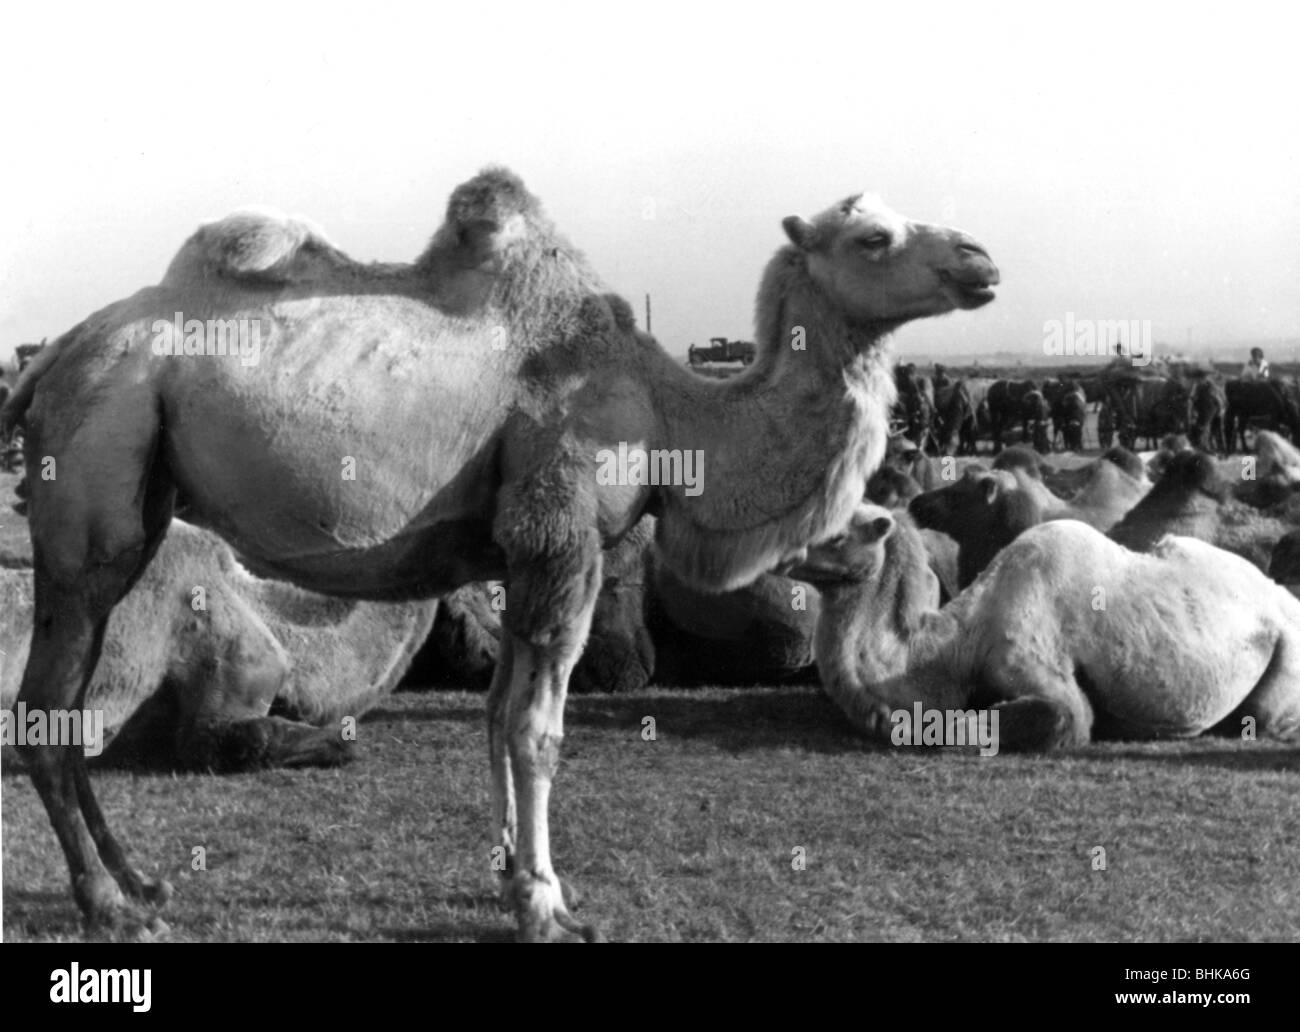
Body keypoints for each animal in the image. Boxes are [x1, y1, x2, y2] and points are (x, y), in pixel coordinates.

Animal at [5, 166, 993, 941]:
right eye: (873, 236)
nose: (982, 262)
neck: (674, 415)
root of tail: (51, 359)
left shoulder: (520, 552)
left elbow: (494, 713)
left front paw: (514, 878)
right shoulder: (562, 537)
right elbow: (538, 730)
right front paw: (548, 907)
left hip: (137, 502)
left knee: (69, 703)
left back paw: (139, 882)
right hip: (98, 478)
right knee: (49, 704)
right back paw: (108, 905)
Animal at [785, 501, 1300, 743]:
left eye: (836, 537)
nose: (785, 555)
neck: (957, 646)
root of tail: (1282, 597)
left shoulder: (1035, 661)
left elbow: (1063, 715)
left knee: (1260, 716)